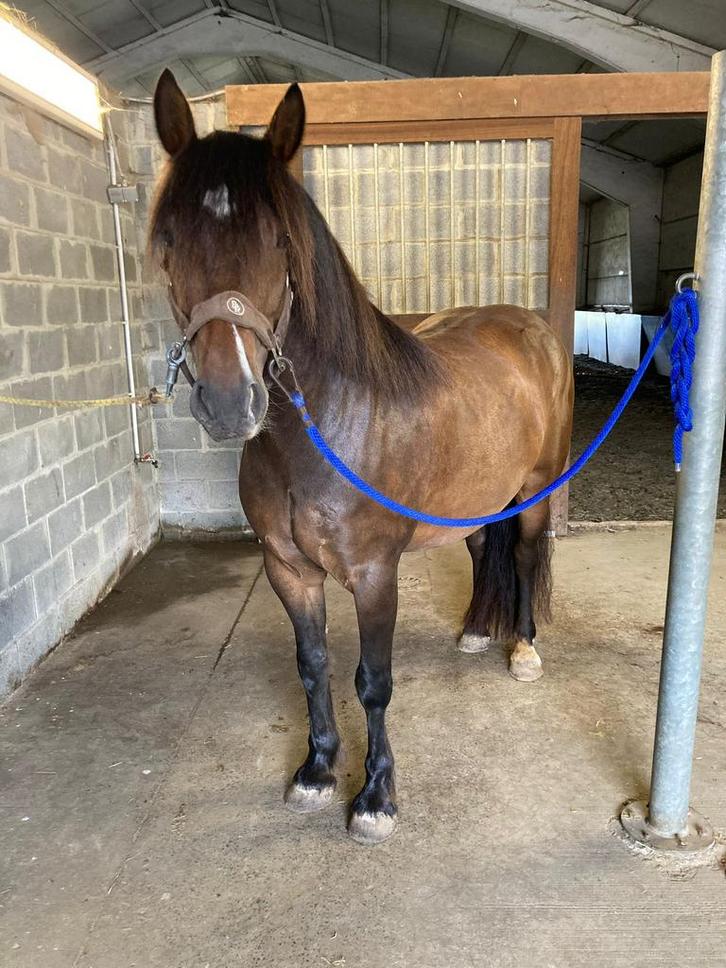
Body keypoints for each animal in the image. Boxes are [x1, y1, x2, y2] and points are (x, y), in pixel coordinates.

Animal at [150, 69, 574, 845]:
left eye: (280, 242)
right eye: (168, 241)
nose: (229, 402)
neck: (322, 435)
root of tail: (528, 326)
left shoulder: (376, 575)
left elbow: (372, 682)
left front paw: (376, 797)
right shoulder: (289, 570)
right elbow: (312, 665)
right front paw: (317, 770)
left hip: (535, 489)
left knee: (526, 557)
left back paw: (523, 648)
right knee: (481, 549)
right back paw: (476, 632)